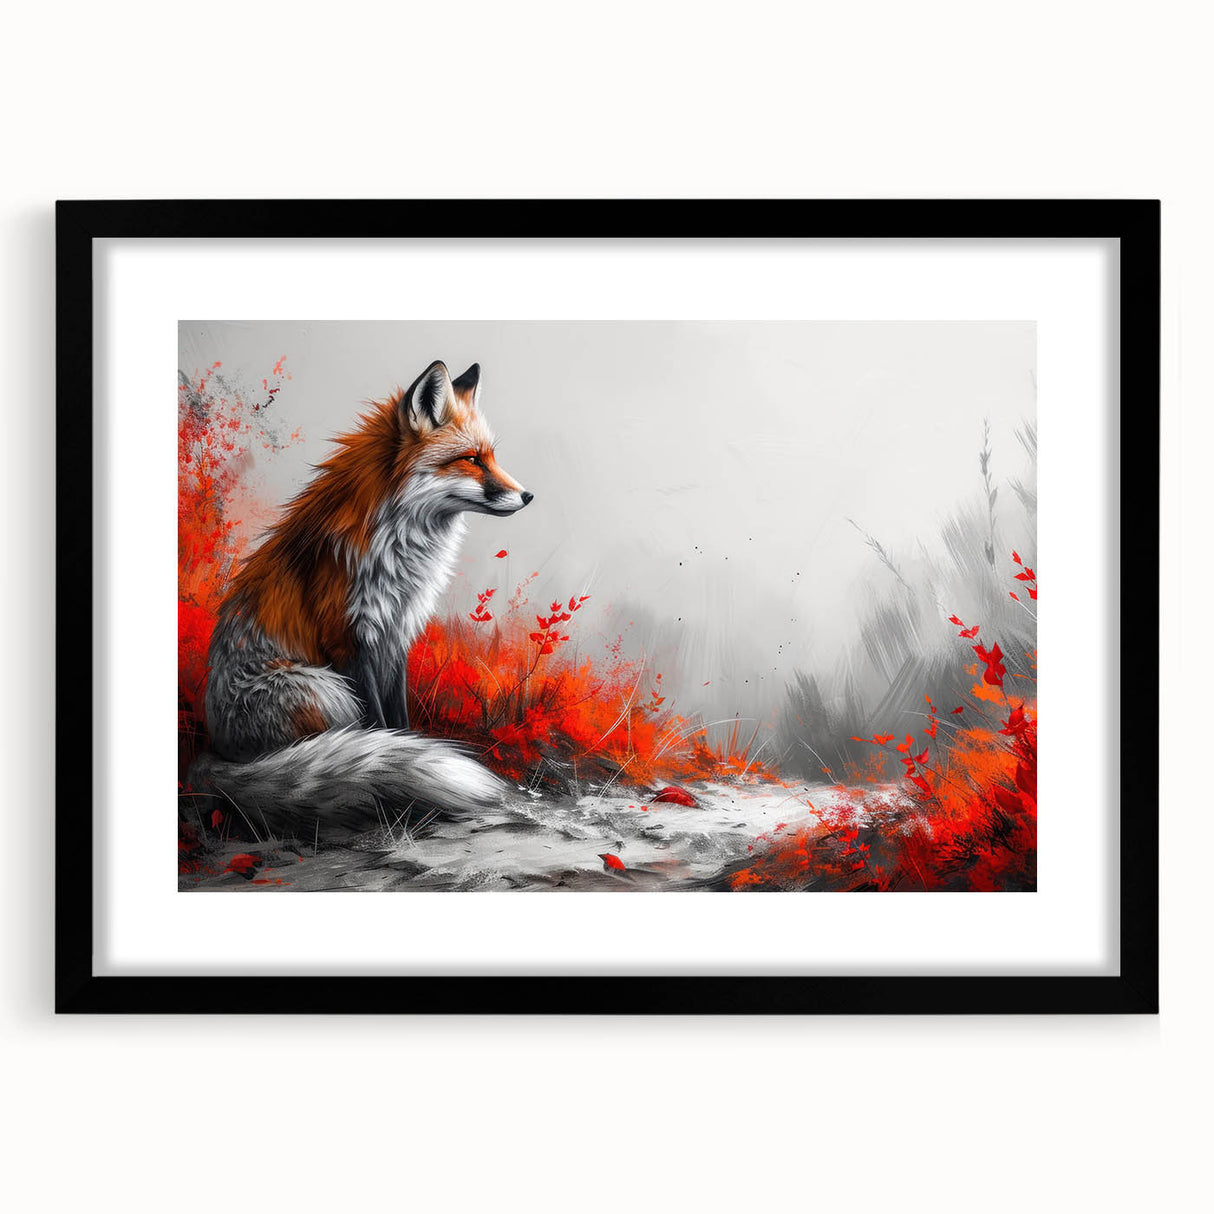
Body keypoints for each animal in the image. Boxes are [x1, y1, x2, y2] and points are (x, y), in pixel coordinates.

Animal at [192, 360, 533, 832]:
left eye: (492, 457)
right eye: (471, 460)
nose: (528, 495)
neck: (400, 549)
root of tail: (215, 751)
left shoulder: (396, 633)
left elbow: (400, 723)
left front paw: (414, 753)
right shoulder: (349, 638)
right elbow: (378, 724)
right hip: (325, 689)